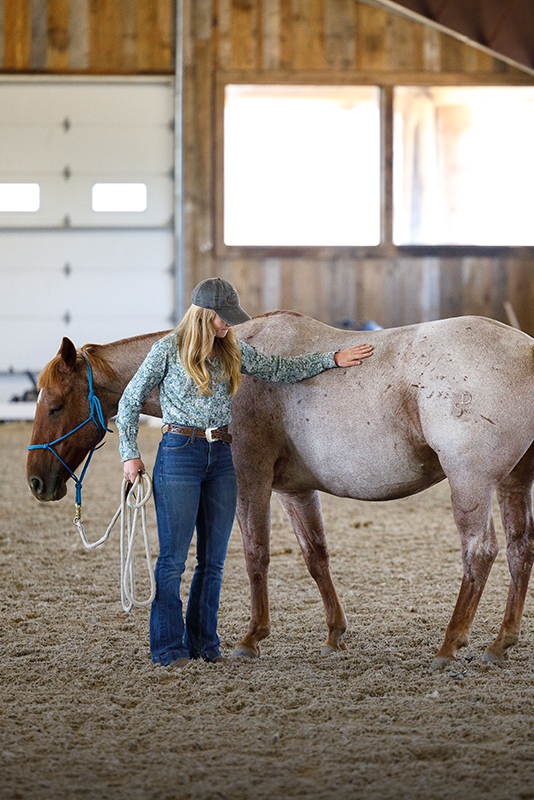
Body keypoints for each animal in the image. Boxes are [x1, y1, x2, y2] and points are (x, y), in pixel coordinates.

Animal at [26, 312, 534, 668]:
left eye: (55, 405)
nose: (36, 481)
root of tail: (524, 348)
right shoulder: (295, 491)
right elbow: (315, 556)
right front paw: (333, 635)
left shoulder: (250, 476)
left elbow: (256, 554)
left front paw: (252, 638)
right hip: (514, 481)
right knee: (518, 549)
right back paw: (500, 643)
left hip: (470, 483)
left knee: (480, 552)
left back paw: (449, 646)